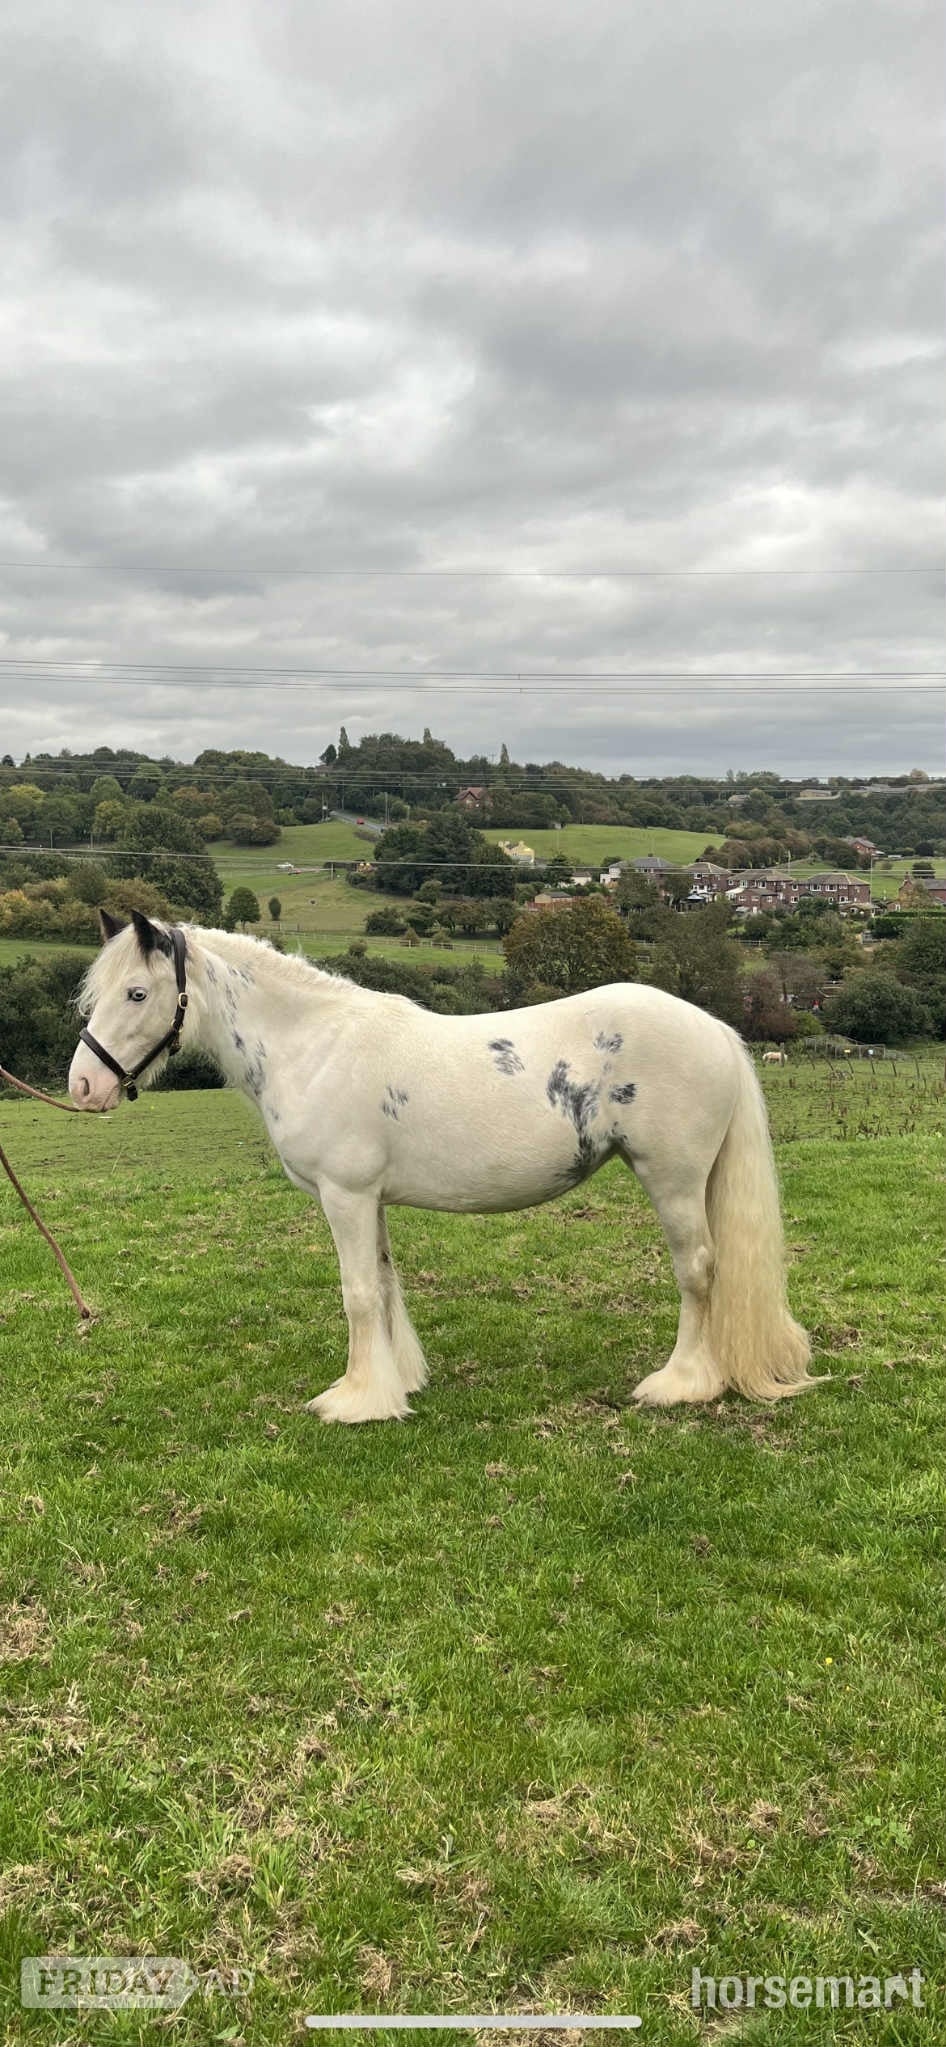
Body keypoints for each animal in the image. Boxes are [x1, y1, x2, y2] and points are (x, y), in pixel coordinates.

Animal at [68, 911, 816, 1424]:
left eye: (136, 994)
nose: (83, 1086)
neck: (313, 1044)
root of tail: (714, 1029)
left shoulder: (344, 1196)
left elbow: (358, 1294)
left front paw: (356, 1400)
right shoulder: (369, 1199)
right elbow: (384, 1285)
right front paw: (395, 1381)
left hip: (674, 1180)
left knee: (697, 1271)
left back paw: (680, 1382)